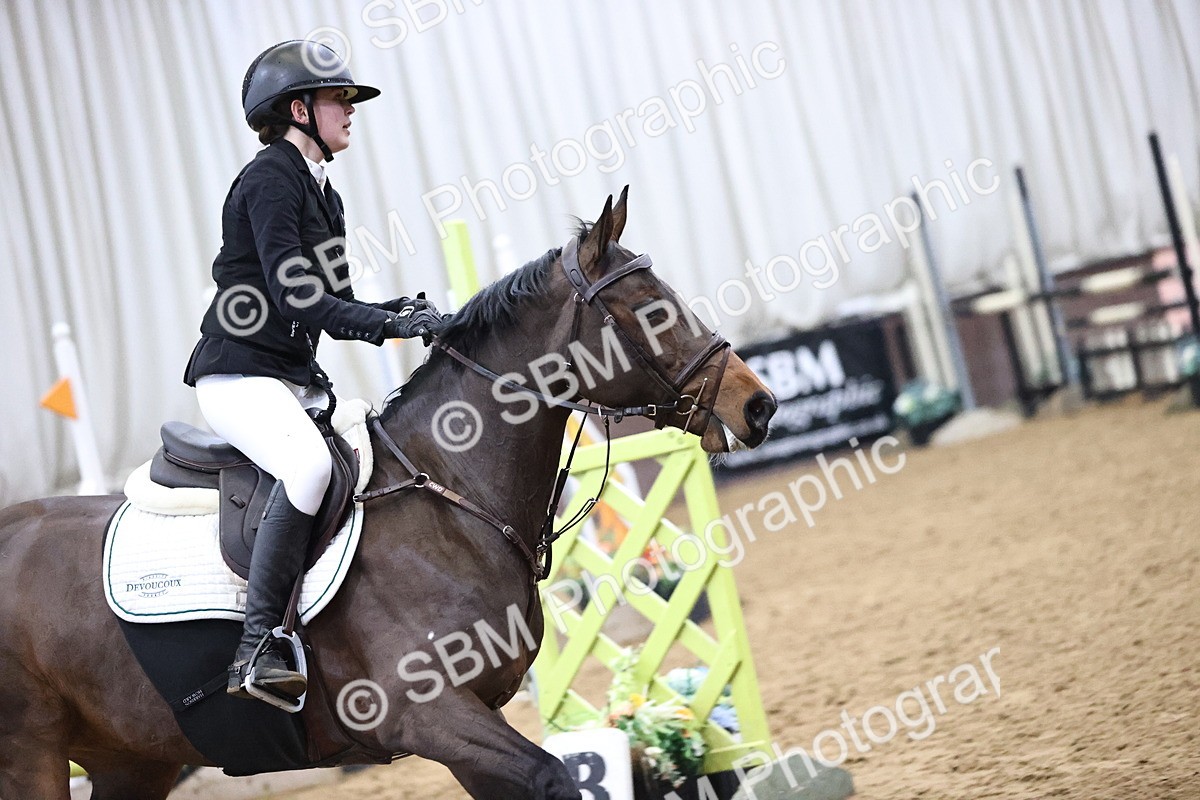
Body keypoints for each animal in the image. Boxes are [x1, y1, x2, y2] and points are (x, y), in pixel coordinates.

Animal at [0, 188, 777, 800]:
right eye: (649, 307)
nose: (759, 405)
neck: (452, 499)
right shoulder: (429, 714)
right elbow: (555, 776)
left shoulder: (476, 717)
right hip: (32, 752)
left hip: (132, 758)